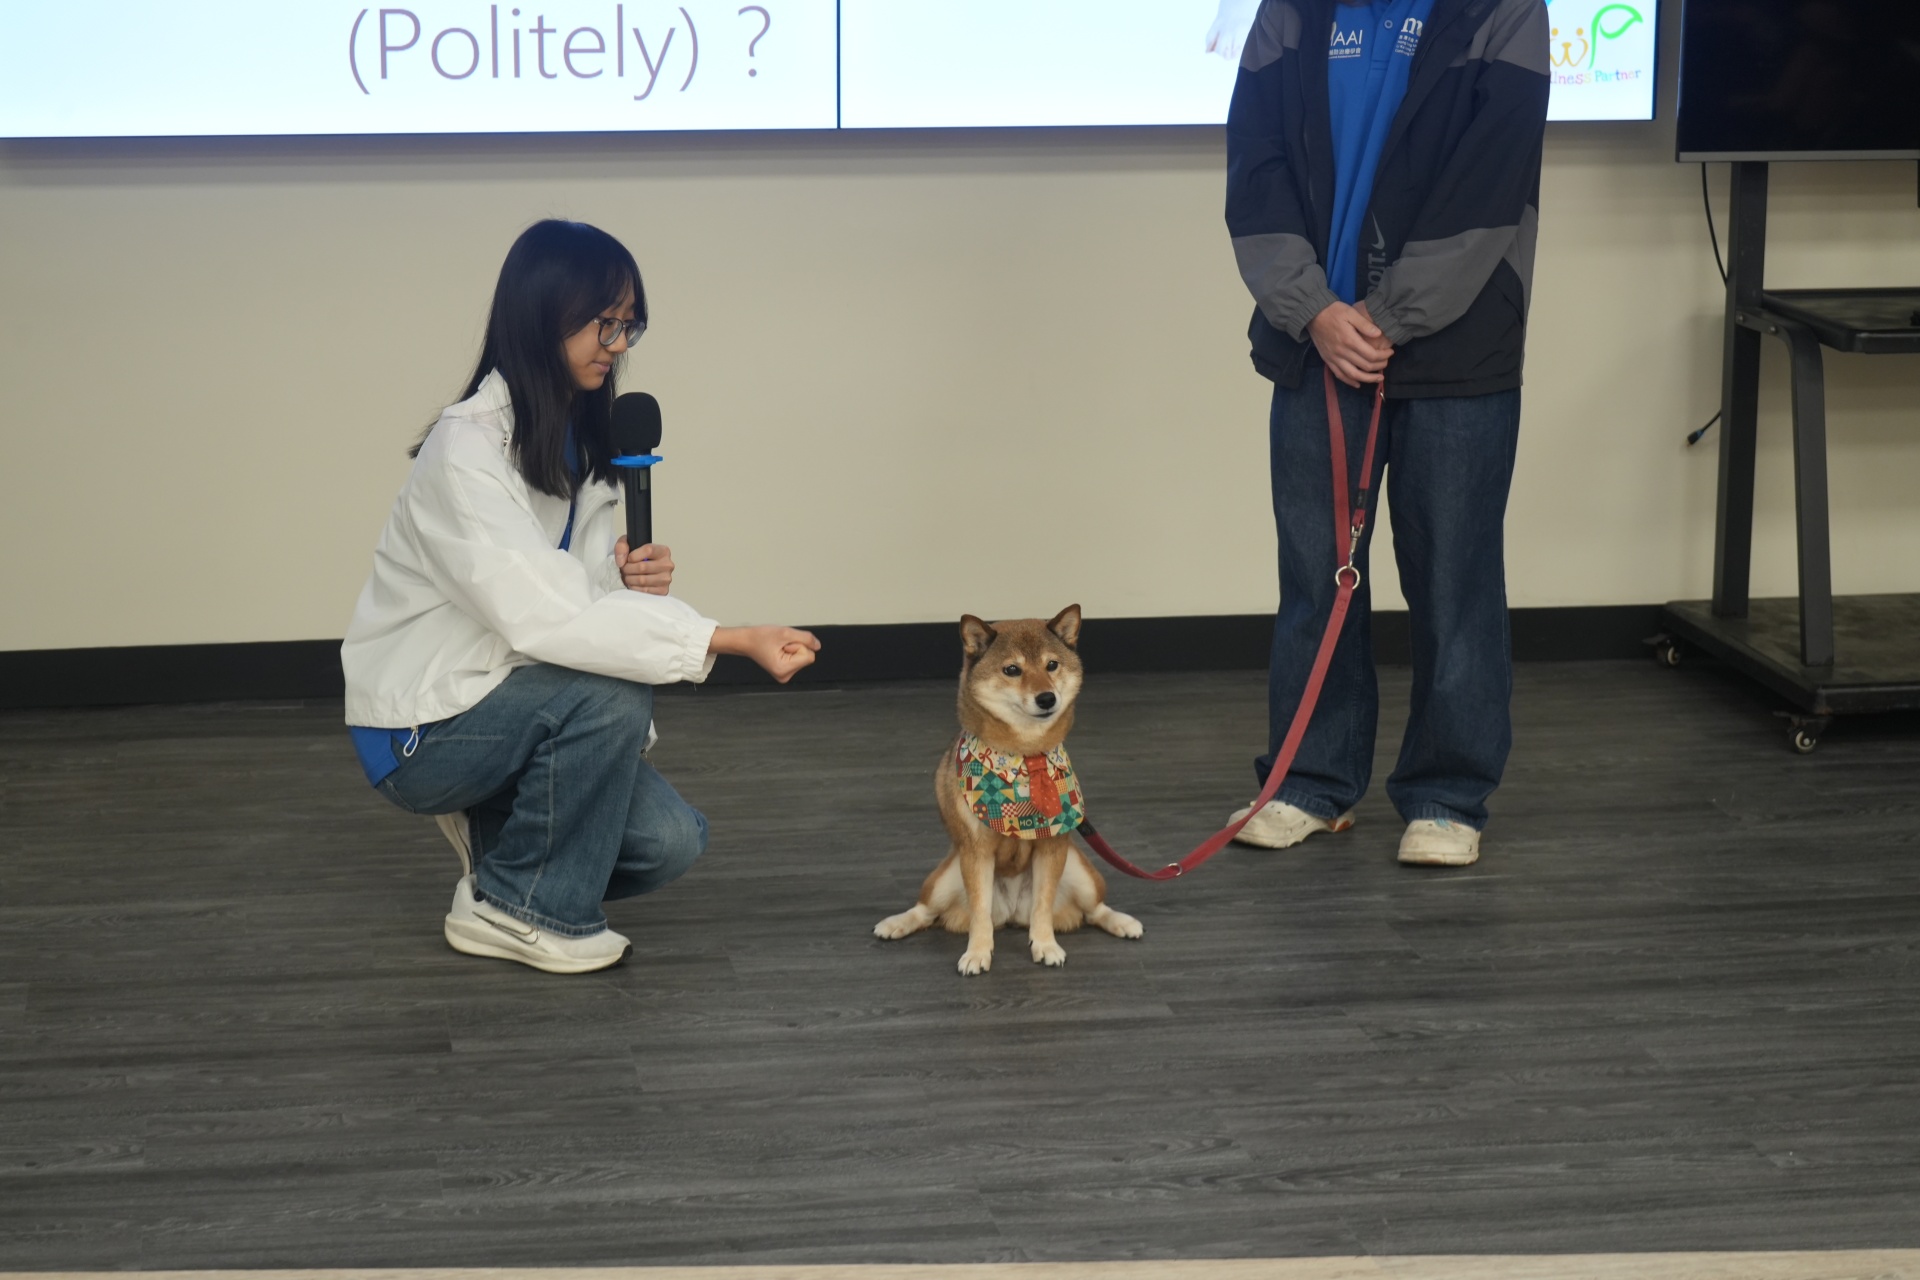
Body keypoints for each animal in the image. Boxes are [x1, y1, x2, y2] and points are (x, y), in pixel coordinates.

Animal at [874, 604, 1142, 975]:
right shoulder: (975, 852)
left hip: (1082, 871)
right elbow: (979, 913)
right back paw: (895, 924)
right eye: (1012, 670)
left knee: (1093, 910)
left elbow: (1042, 908)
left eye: (1052, 665)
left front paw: (1045, 945)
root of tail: (1013, 913)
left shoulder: (1052, 846)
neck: (1024, 758)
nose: (1047, 698)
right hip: (943, 878)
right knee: (927, 911)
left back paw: (1123, 922)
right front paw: (977, 953)